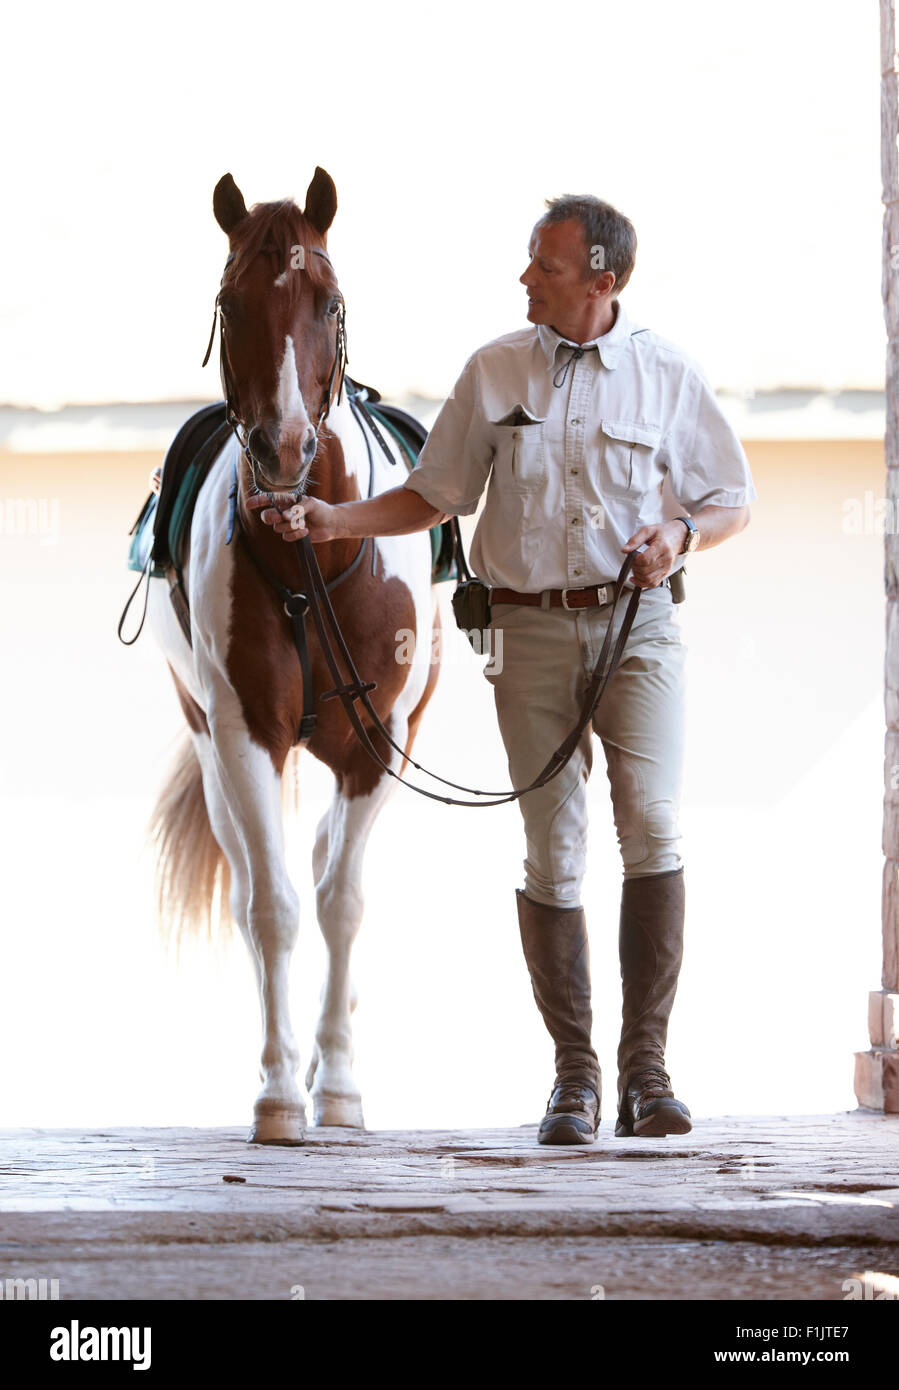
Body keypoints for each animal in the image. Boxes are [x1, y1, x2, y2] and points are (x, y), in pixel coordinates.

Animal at [145, 168, 441, 1145]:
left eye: (330, 301)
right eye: (228, 303)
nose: (282, 448)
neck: (309, 557)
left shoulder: (380, 743)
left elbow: (339, 902)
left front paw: (337, 1087)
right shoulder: (244, 734)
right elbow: (270, 907)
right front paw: (278, 1095)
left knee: (322, 864)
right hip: (209, 743)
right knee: (256, 882)